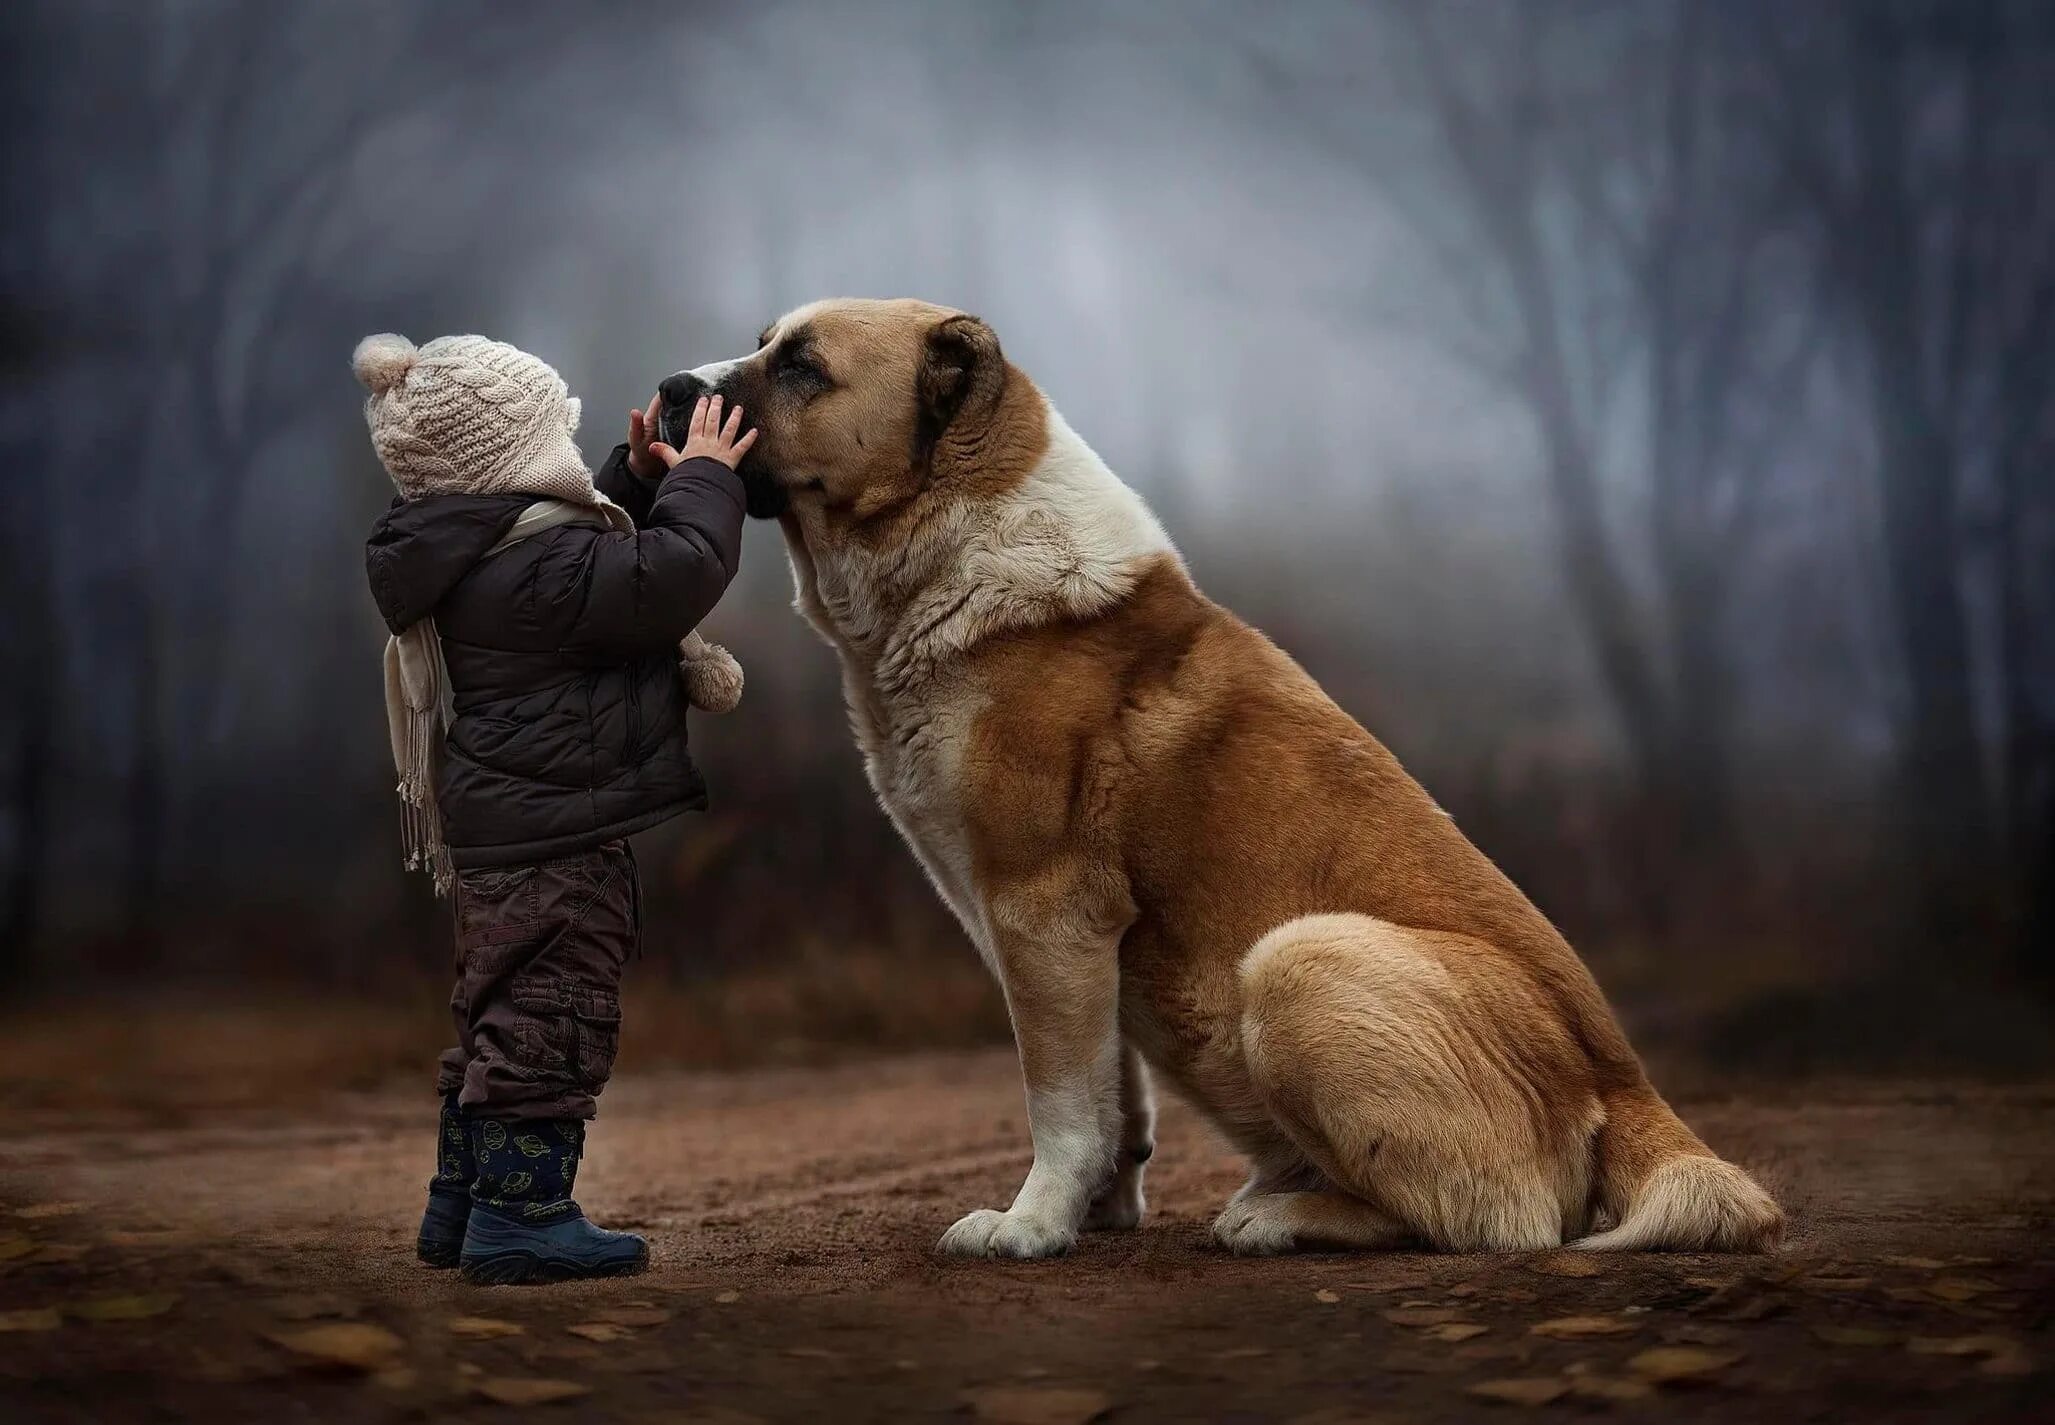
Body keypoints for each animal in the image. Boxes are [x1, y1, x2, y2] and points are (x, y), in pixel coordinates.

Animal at [661, 300, 1783, 1258]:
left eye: (802, 367)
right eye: (761, 344)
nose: (673, 388)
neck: (955, 545)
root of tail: (1633, 1093)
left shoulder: (1042, 912)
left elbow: (1059, 1099)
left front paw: (1029, 1227)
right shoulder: (1074, 942)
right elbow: (1112, 1094)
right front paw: (1096, 1212)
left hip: (1297, 960)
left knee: (1495, 1219)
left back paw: (1277, 1216)